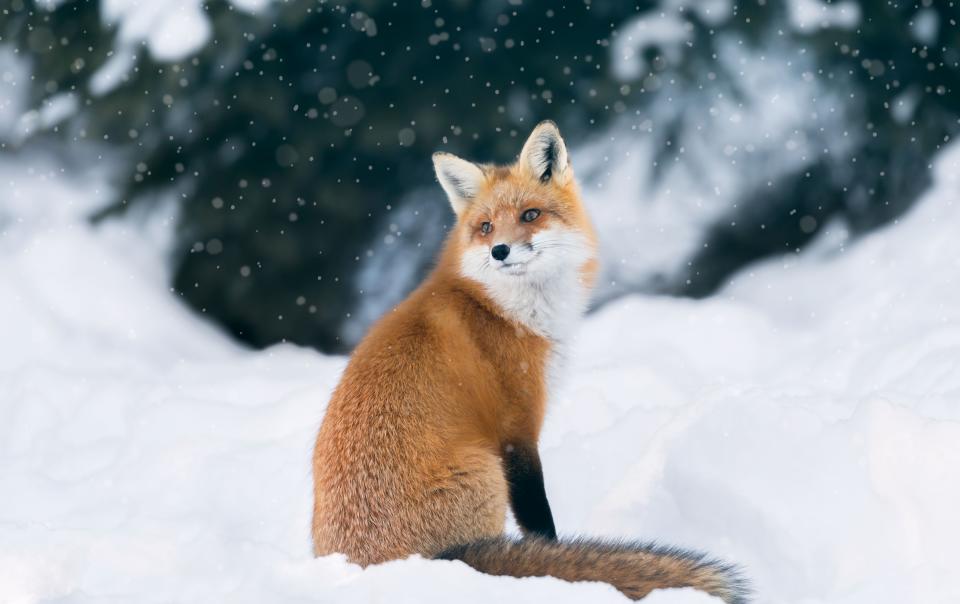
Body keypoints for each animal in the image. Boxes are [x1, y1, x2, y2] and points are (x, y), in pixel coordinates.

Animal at [312, 120, 748, 600]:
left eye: (530, 215)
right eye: (486, 226)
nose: (499, 250)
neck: (501, 309)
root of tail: (372, 569)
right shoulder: (516, 429)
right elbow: (541, 523)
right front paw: (553, 570)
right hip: (486, 475)